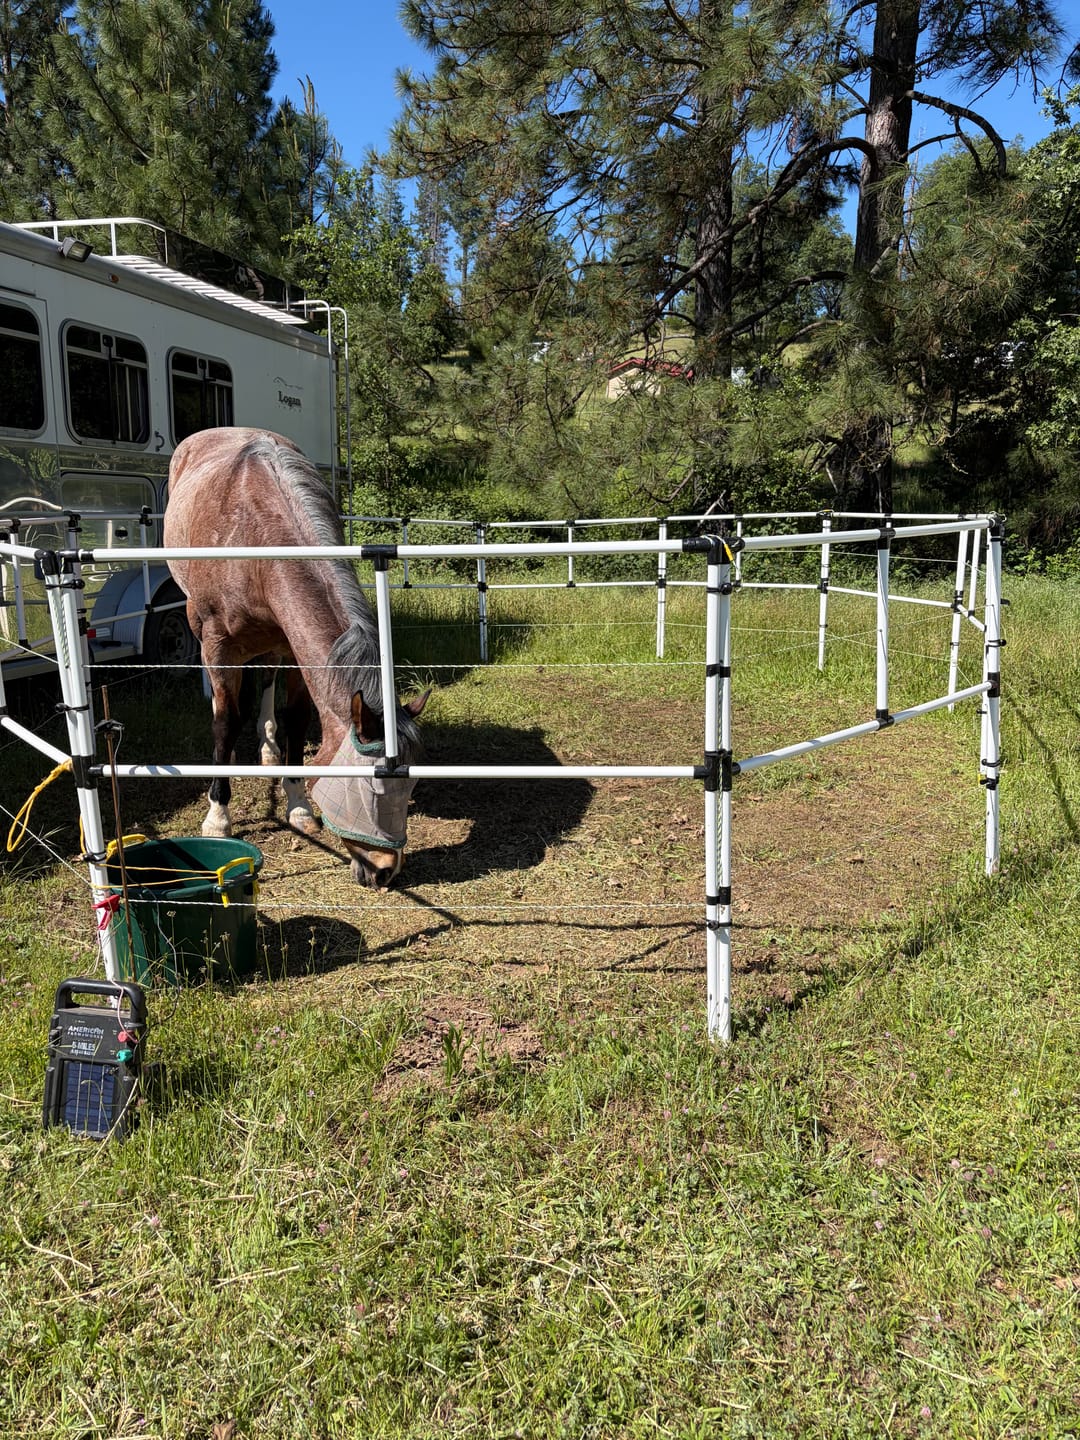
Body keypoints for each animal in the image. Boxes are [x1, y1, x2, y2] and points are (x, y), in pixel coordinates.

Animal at [163, 427, 428, 888]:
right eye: (368, 790)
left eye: (409, 787)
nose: (385, 872)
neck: (255, 534)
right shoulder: (218, 643)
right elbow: (225, 723)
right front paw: (218, 816)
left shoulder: (293, 646)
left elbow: (298, 718)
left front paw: (299, 804)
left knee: (267, 677)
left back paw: (268, 747)